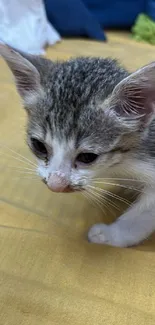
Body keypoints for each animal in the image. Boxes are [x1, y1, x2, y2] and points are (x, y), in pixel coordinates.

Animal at [0, 42, 155, 246]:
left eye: (88, 157)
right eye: (39, 146)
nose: (55, 185)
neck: (122, 162)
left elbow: (142, 215)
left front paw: (112, 235)